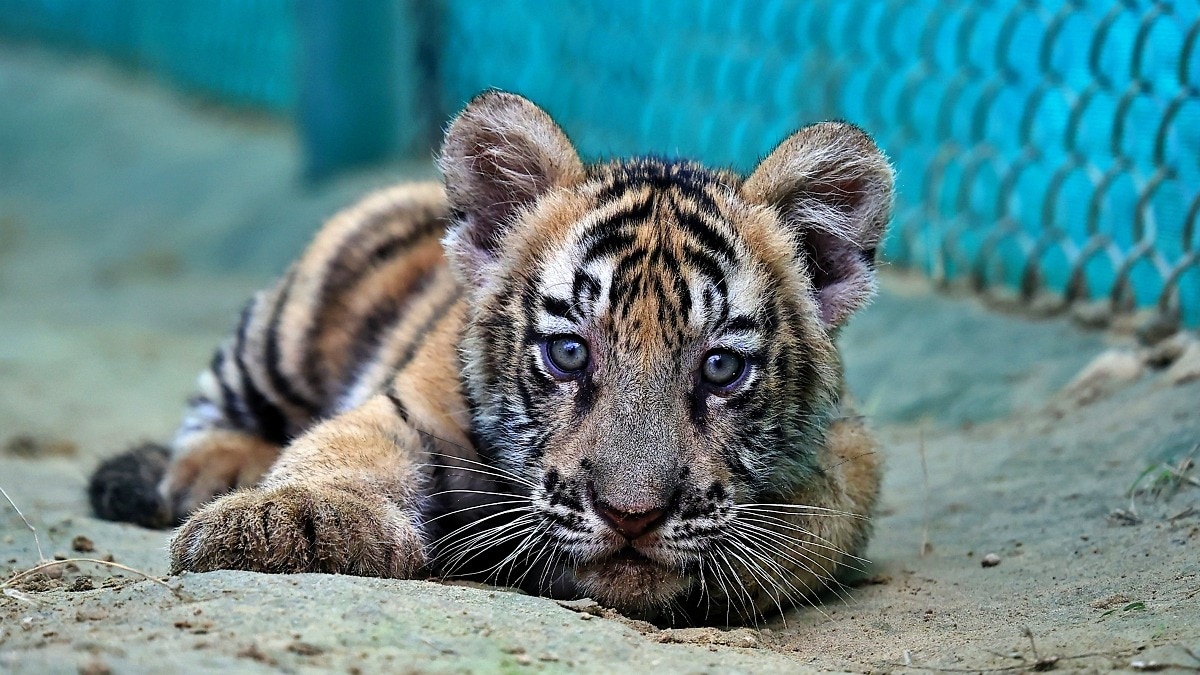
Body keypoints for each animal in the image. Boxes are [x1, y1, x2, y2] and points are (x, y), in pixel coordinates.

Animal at [88, 91, 894, 624]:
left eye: (721, 368)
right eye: (568, 353)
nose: (631, 517)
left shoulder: (847, 450)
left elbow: (809, 523)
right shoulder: (407, 405)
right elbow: (338, 451)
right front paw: (287, 524)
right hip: (281, 331)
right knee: (217, 404)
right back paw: (209, 473)